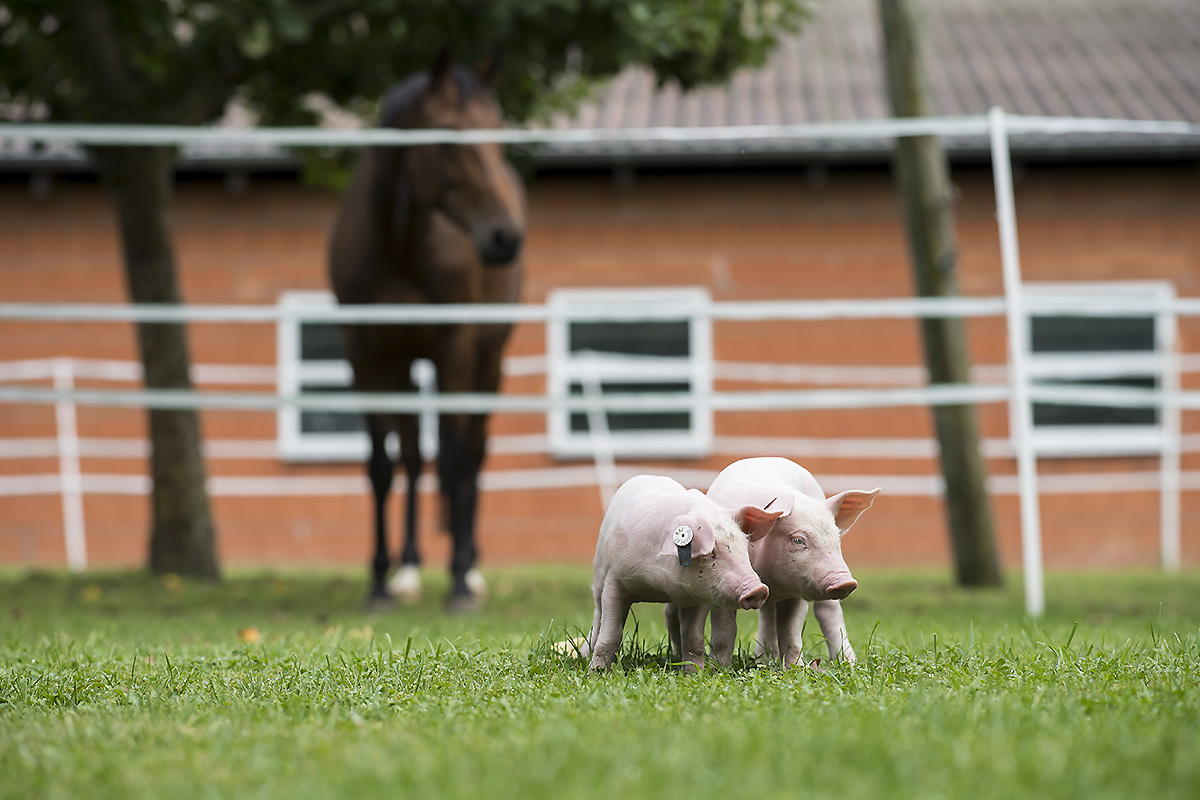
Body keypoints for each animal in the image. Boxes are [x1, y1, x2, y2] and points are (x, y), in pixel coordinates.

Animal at [326, 48, 523, 614]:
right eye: (445, 138)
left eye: (498, 131)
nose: (504, 237)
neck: (399, 245)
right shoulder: (366, 355)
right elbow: (381, 466)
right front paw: (378, 581)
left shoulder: (453, 347)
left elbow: (455, 462)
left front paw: (458, 582)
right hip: (404, 364)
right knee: (413, 458)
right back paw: (408, 572)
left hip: (487, 359)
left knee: (473, 453)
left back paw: (471, 570)